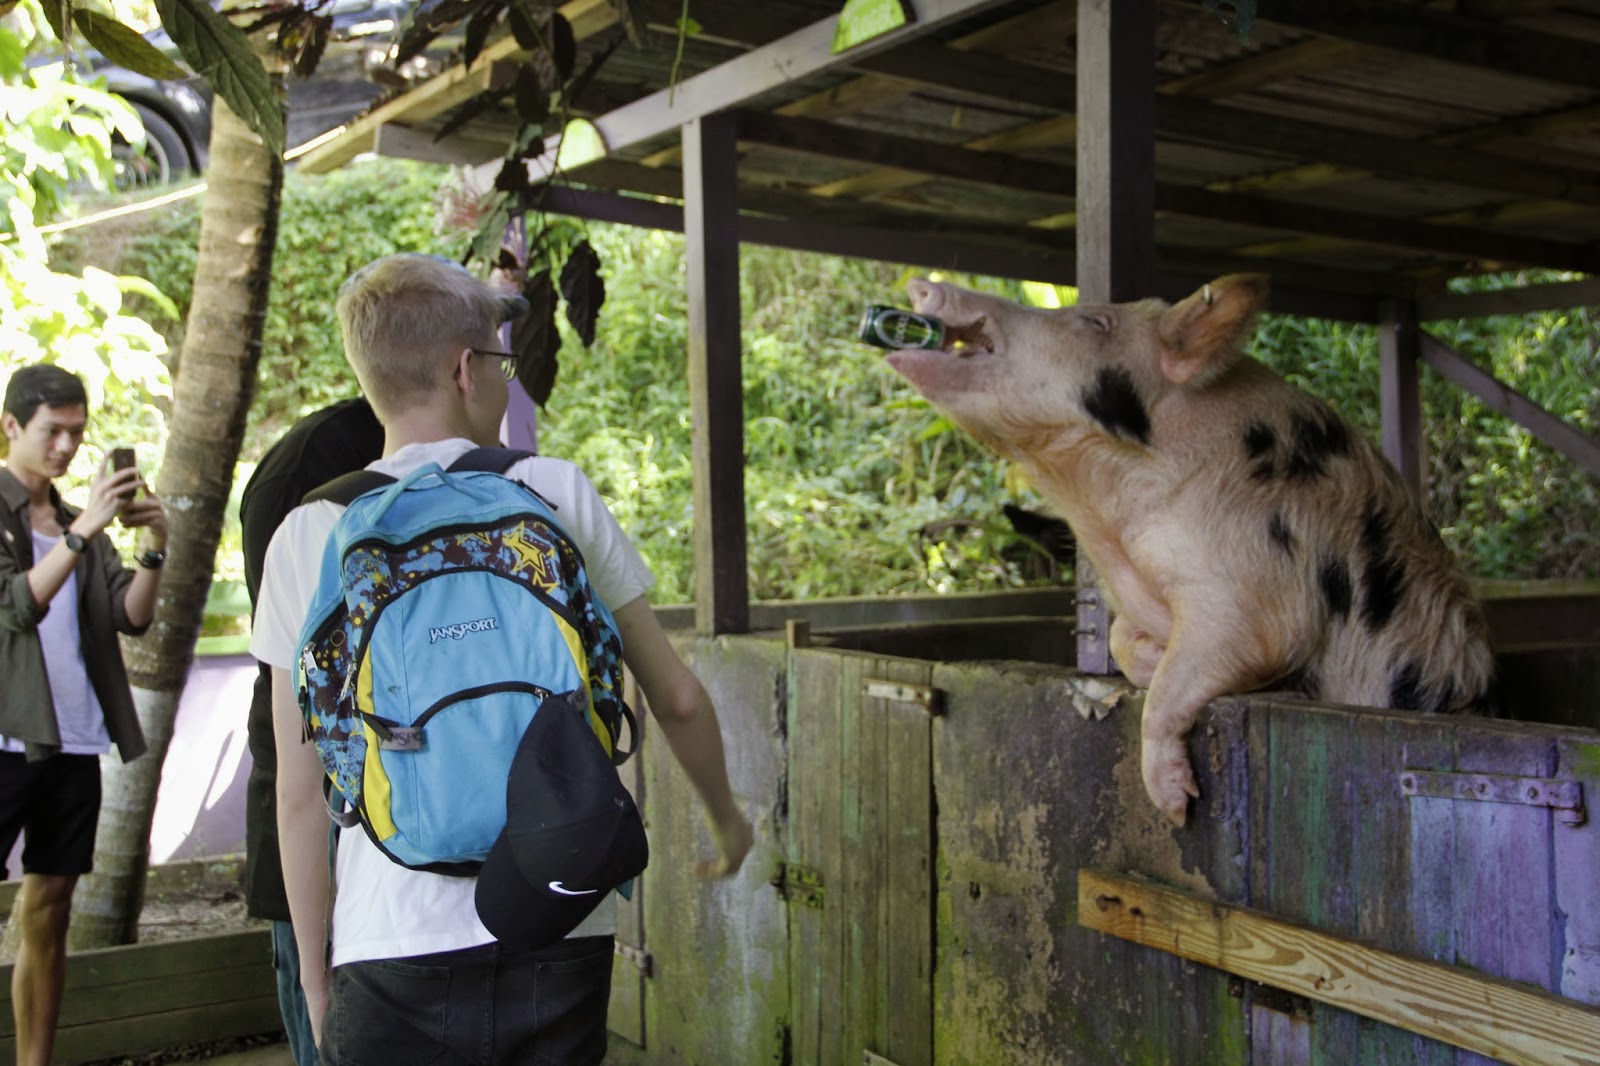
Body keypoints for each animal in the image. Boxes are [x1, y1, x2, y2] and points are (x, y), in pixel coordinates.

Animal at [884, 274, 1496, 825]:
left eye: (1095, 322)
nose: (922, 284)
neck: (1107, 514)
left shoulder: (1256, 588)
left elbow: (1196, 671)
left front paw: (1176, 808)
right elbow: (1118, 638)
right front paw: (1151, 660)